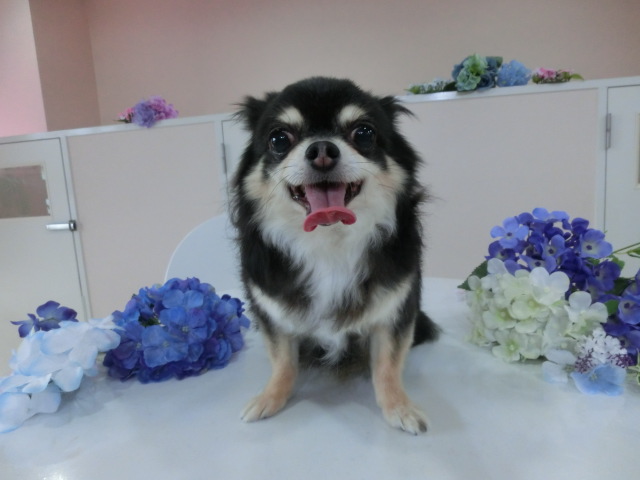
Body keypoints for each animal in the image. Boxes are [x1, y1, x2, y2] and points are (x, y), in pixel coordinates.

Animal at [230, 77, 438, 434]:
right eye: (279, 139)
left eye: (364, 133)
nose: (322, 150)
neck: (328, 245)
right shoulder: (273, 314)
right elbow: (283, 361)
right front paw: (270, 397)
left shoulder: (395, 311)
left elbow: (387, 365)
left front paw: (398, 406)